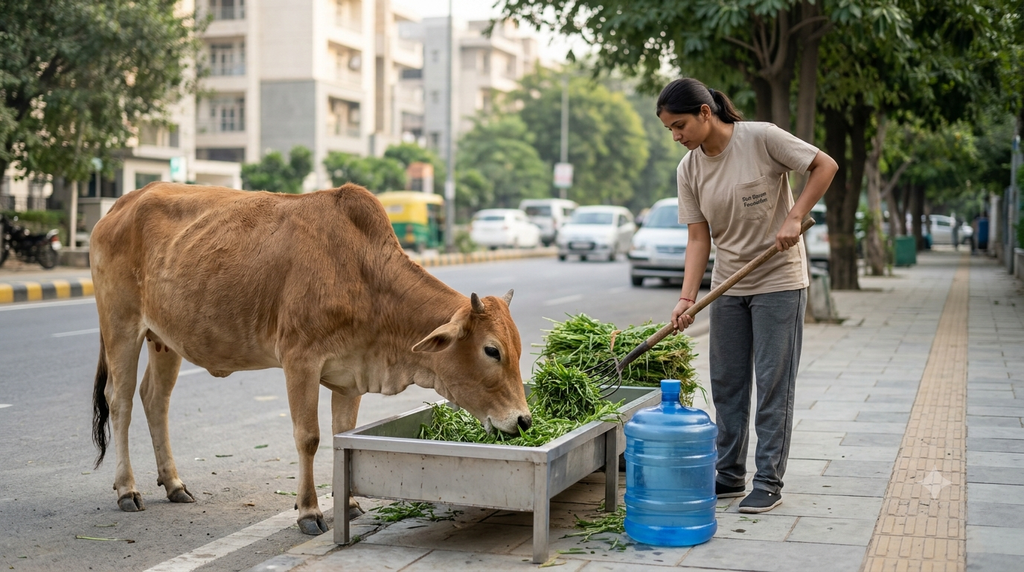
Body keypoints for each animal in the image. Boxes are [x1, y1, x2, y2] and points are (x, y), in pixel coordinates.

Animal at [89, 182, 532, 535]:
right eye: (491, 350)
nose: (524, 420)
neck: (364, 276)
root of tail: (121, 204)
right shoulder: (300, 360)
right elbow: (309, 437)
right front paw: (309, 512)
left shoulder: (351, 375)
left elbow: (343, 434)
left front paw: (349, 504)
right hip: (121, 327)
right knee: (121, 402)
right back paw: (127, 489)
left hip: (164, 340)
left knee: (155, 399)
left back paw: (175, 484)